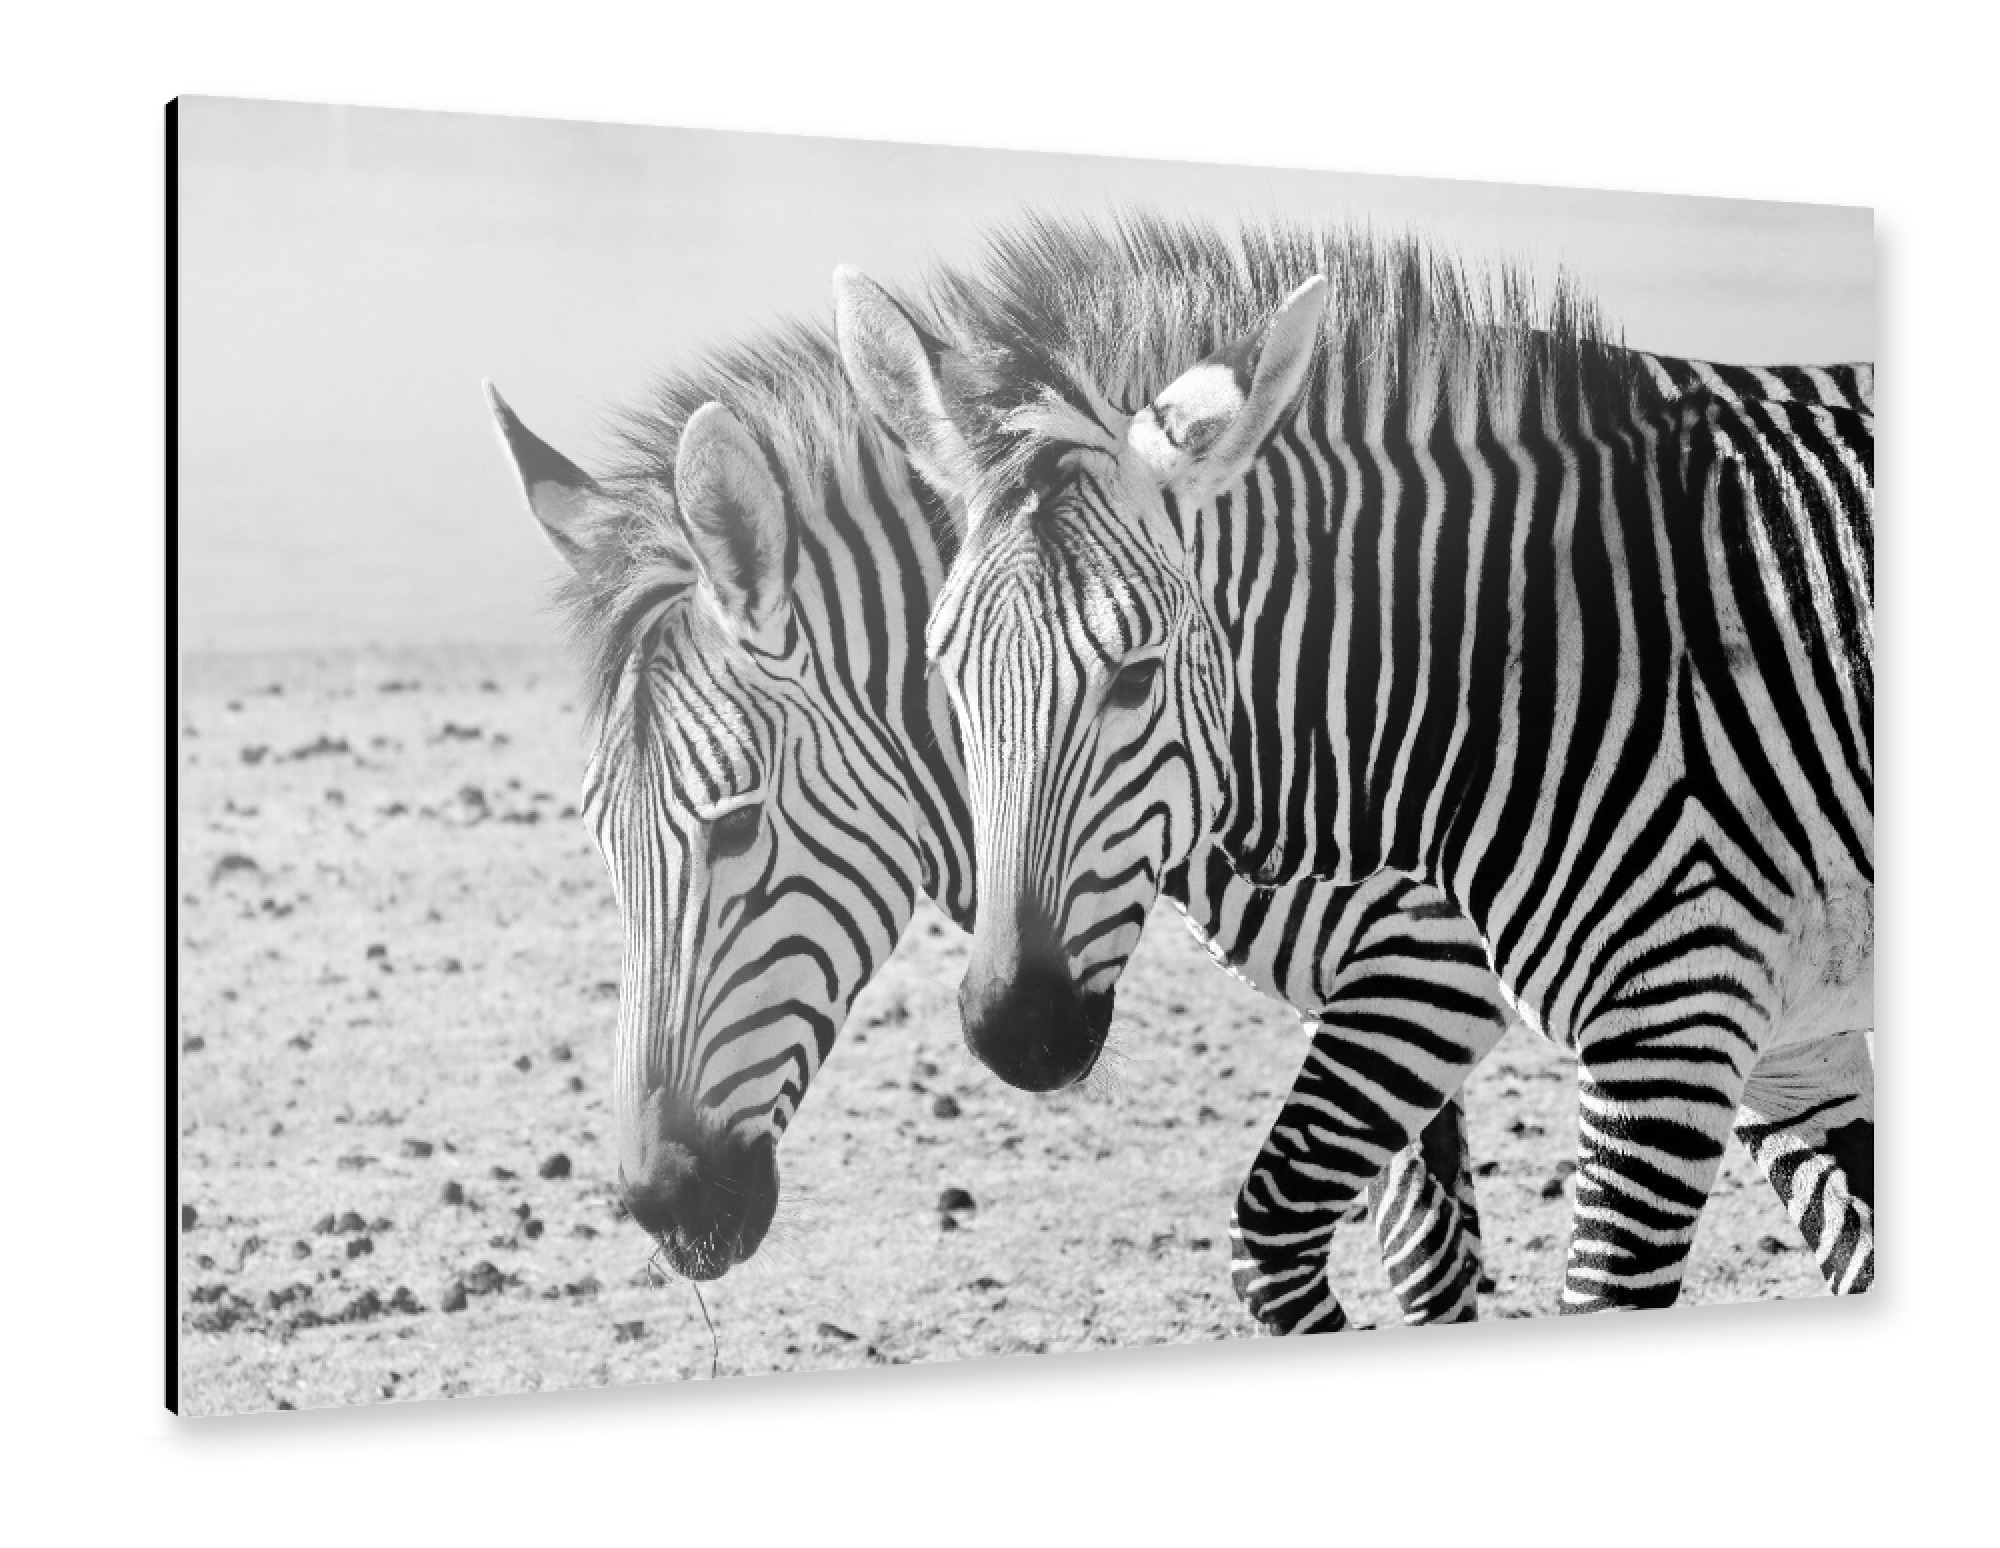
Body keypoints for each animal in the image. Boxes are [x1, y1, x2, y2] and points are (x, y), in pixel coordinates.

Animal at [485, 321, 1508, 1321]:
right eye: (601, 842)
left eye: (736, 829)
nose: (663, 1207)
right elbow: (1432, 1254)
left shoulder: (1430, 963)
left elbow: (1376, 1253)